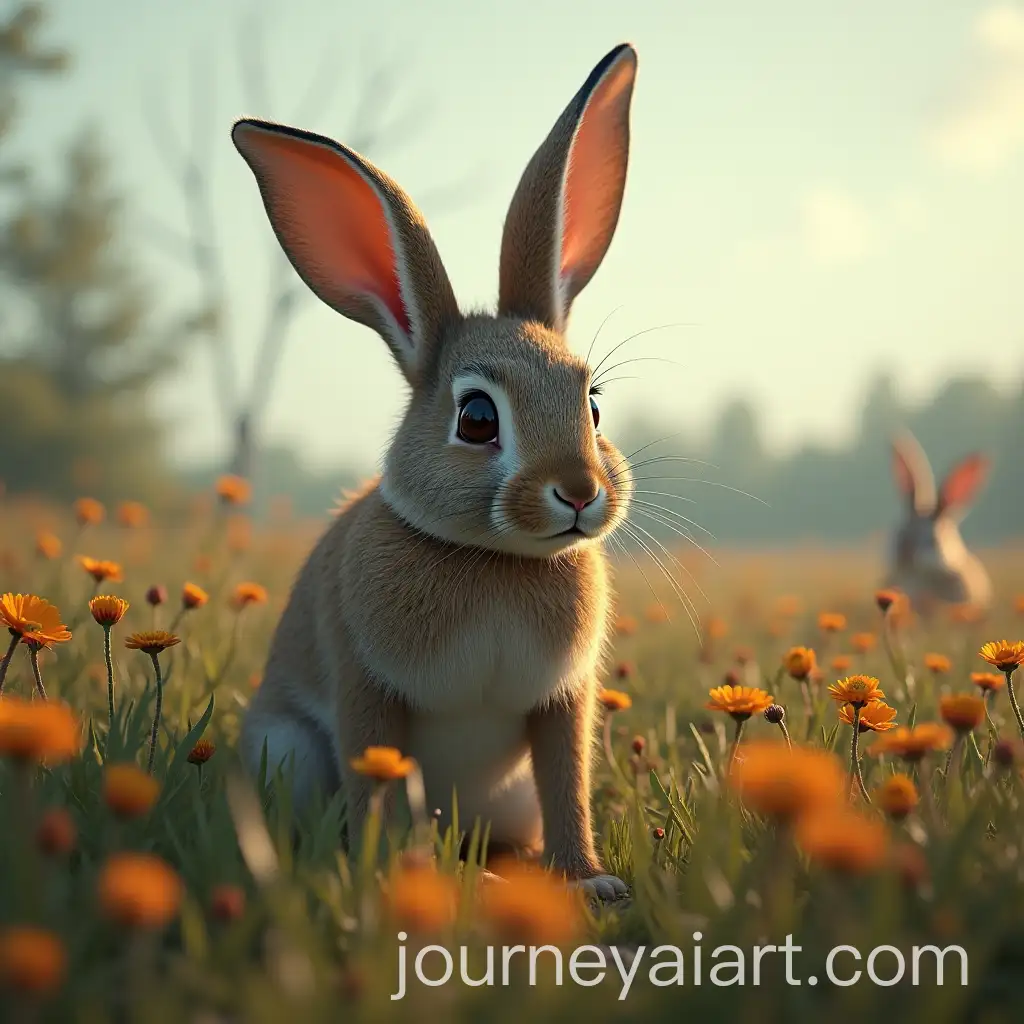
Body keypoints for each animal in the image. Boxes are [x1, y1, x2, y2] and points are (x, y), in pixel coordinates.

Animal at [231, 43, 641, 902]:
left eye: (591, 403)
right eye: (477, 418)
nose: (579, 492)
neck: (494, 562)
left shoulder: (562, 700)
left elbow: (568, 780)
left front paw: (589, 883)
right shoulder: (366, 686)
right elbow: (378, 780)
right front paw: (395, 872)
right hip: (287, 748)